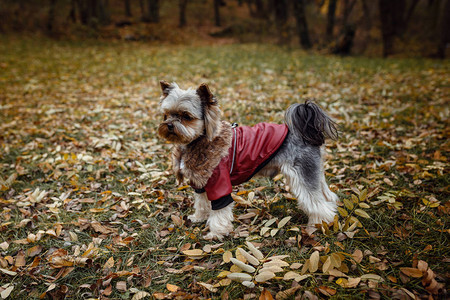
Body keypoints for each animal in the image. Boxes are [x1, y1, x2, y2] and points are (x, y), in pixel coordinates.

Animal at [158, 80, 338, 239]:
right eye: (167, 114)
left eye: (186, 116)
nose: (169, 125)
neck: (199, 140)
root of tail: (306, 133)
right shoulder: (201, 183)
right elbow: (201, 203)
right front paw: (199, 218)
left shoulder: (219, 184)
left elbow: (219, 212)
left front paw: (216, 233)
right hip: (314, 173)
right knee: (327, 196)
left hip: (303, 175)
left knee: (318, 204)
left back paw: (318, 225)